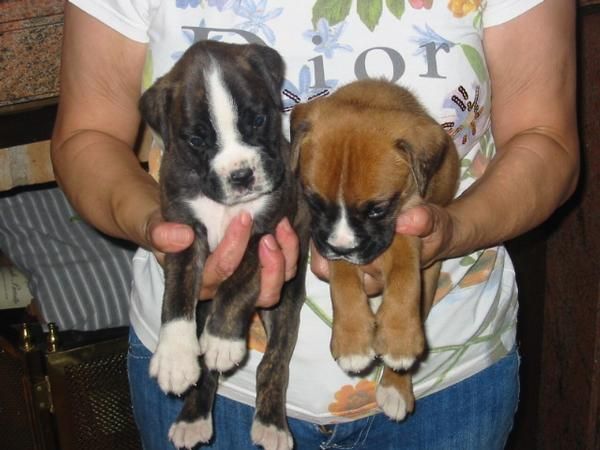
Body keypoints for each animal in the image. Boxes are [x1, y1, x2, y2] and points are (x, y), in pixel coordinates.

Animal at [139, 40, 310, 448]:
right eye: (197, 139)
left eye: (258, 120)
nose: (242, 176)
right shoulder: (184, 232)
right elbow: (177, 296)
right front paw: (175, 356)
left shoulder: (263, 234)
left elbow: (236, 285)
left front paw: (221, 340)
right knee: (207, 372)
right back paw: (193, 419)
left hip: (285, 302)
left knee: (273, 365)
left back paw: (271, 425)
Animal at [292, 81, 460, 422]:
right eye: (314, 202)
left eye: (377, 209)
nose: (342, 247)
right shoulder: (328, 240)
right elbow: (343, 279)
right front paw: (352, 338)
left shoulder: (411, 220)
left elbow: (405, 274)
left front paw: (398, 335)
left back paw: (396, 385)